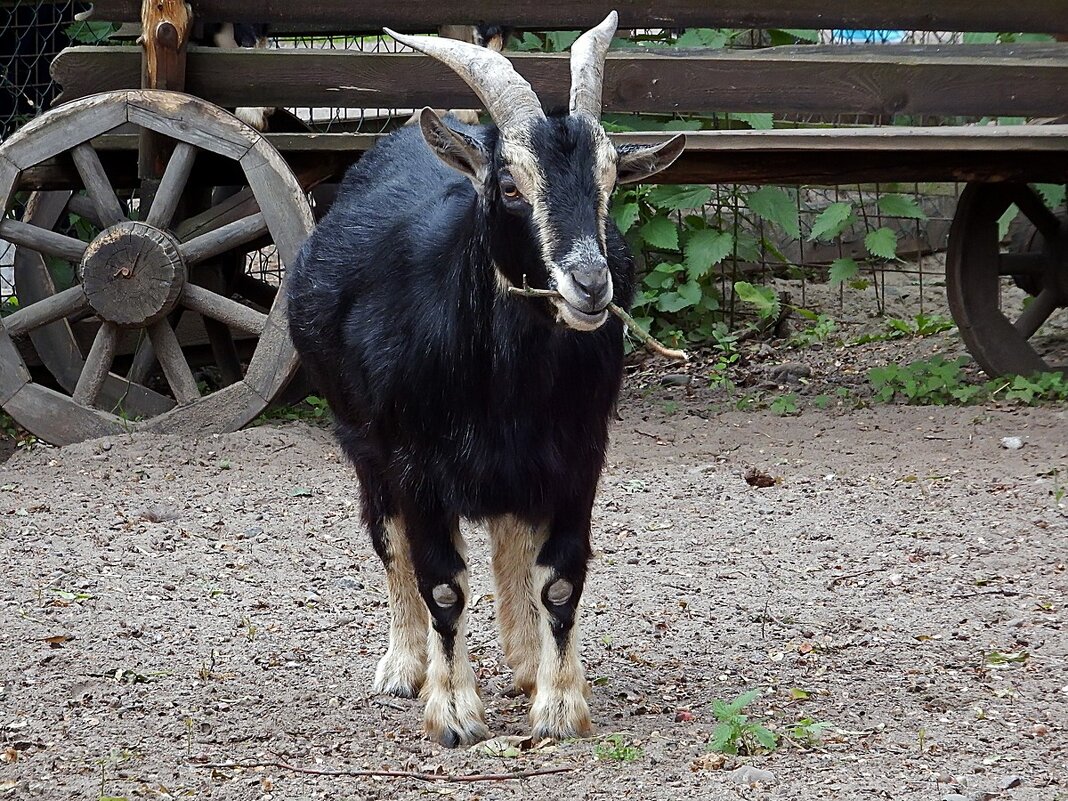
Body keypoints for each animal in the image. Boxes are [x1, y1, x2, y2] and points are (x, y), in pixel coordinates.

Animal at [286, 12, 683, 751]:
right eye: (509, 186)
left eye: (612, 181)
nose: (590, 284)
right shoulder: (412, 459)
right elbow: (440, 579)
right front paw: (452, 712)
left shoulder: (580, 453)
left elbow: (558, 576)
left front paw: (559, 703)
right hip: (361, 441)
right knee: (388, 538)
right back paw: (403, 665)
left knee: (510, 540)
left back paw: (525, 660)